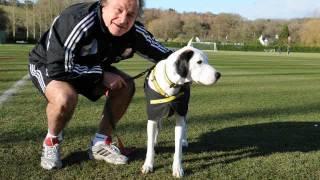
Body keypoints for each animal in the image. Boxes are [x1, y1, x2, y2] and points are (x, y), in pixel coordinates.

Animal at [141, 38, 221, 178]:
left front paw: (177, 168)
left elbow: (178, 145)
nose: (218, 75)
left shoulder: (180, 112)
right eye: (199, 62)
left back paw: (184, 140)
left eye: (207, 60)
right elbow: (150, 144)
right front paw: (148, 164)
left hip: (185, 109)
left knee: (185, 124)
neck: (171, 84)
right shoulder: (153, 114)